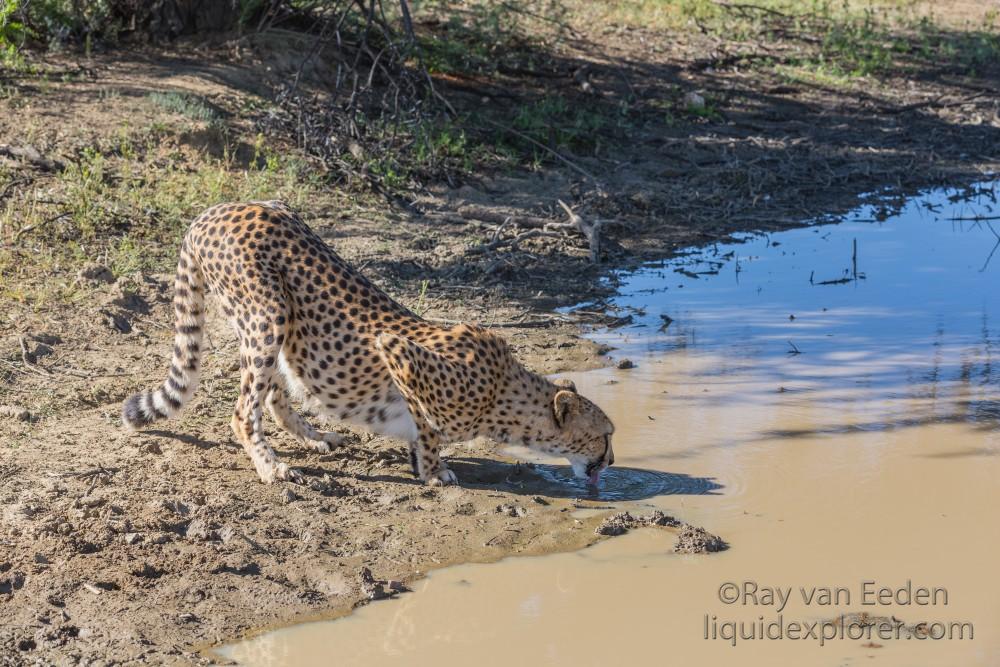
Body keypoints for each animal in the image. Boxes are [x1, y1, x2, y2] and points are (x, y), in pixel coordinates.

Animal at [121, 201, 612, 488]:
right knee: (244, 411)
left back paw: (316, 436)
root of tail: (214, 211)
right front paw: (434, 471)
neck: (503, 393)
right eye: (605, 434)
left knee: (275, 394)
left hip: (274, 318)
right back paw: (270, 466)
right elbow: (428, 427)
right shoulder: (398, 352)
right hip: (268, 313)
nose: (609, 462)